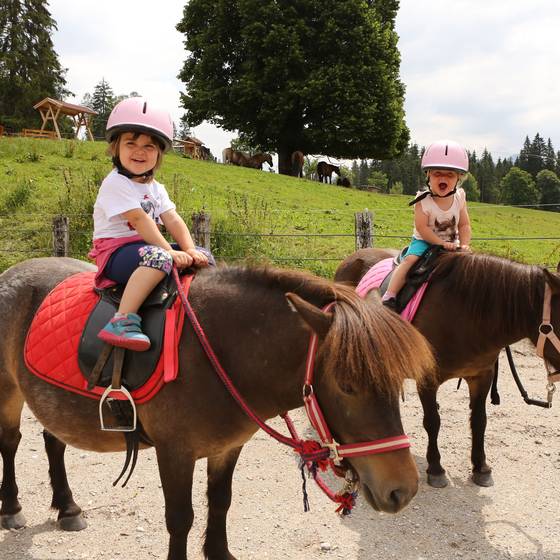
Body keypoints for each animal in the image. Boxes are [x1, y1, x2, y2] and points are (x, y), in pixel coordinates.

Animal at [0, 258, 434, 560]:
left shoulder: (227, 448)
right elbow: (180, 519)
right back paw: (11, 507)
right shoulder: (174, 453)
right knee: (11, 441)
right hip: (8, 392)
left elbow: (220, 502)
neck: (220, 351)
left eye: (397, 385)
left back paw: (67, 507)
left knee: (53, 442)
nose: (403, 490)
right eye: (347, 386)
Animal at [334, 249, 560, 490]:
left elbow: (479, 421)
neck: (467, 313)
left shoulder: (482, 376)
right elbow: (432, 422)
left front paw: (481, 467)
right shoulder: (427, 379)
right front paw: (435, 469)